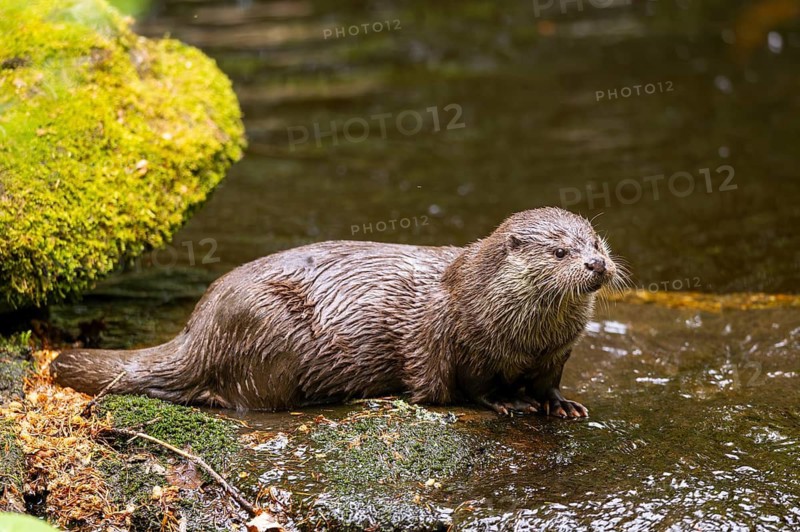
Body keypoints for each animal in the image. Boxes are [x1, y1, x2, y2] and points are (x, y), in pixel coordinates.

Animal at [51, 207, 623, 418]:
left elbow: (548, 384)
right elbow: (459, 386)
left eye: (595, 241)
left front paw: (561, 405)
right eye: (560, 253)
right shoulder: (452, 338)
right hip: (266, 329)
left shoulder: (555, 354)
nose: (595, 263)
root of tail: (198, 329)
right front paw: (502, 403)